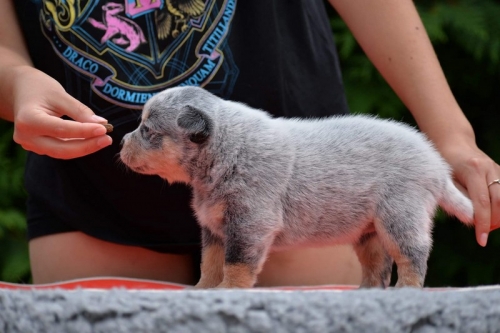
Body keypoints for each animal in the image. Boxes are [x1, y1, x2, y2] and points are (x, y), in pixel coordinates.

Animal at [120, 85, 472, 288]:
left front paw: (227, 292)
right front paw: (203, 292)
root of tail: (436, 164)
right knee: (378, 268)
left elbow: (235, 266)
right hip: (369, 232)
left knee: (413, 257)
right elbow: (210, 264)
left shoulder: (249, 226)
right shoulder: (215, 229)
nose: (122, 142)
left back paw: (406, 291)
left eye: (147, 130)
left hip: (401, 217)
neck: (227, 149)